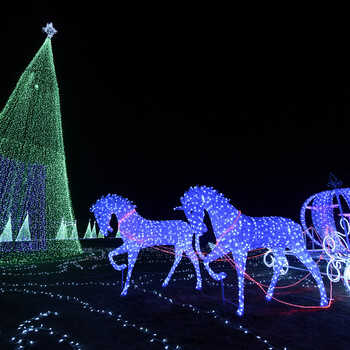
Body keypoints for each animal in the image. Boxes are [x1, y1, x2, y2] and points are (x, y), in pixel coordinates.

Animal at [176, 187, 330, 316]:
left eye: (191, 210)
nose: (200, 230)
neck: (227, 220)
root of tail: (297, 225)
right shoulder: (224, 248)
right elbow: (207, 261)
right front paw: (220, 276)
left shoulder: (240, 251)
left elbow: (240, 275)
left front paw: (240, 309)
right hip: (278, 248)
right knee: (279, 265)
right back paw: (268, 297)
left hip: (296, 246)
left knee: (313, 266)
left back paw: (323, 302)